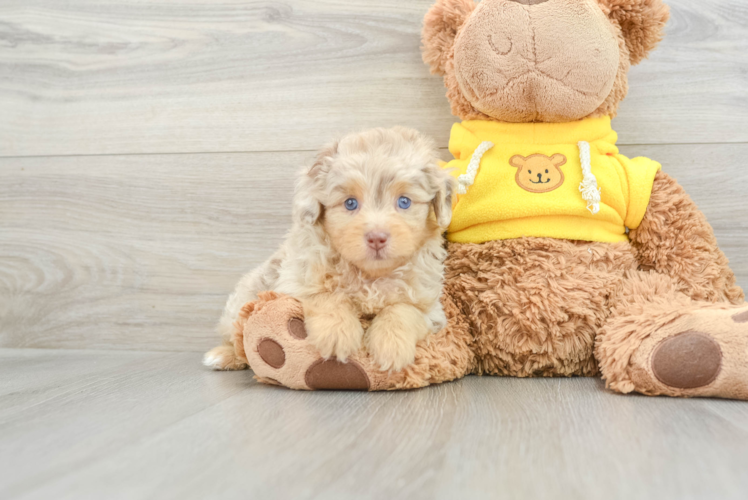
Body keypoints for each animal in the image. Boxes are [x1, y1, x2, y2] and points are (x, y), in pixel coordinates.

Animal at [202, 127, 452, 374]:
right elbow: (326, 295)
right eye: (350, 203)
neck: (370, 276)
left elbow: (404, 309)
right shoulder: (294, 280)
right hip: (243, 299)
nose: (376, 238)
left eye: (404, 202)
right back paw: (223, 355)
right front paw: (337, 334)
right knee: (237, 333)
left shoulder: (430, 307)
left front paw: (392, 347)